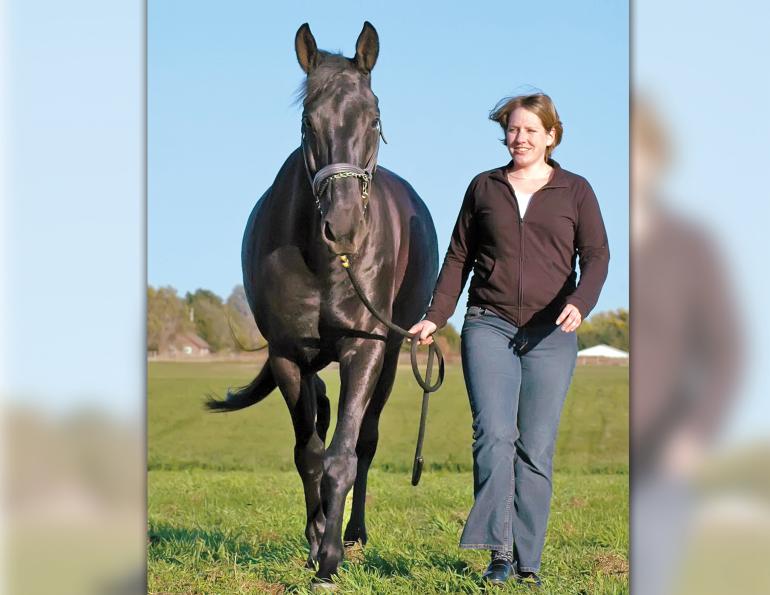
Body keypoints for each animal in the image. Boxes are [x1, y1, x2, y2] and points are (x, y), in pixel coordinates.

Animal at [206, 21, 439, 585]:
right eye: (307, 120)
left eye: (374, 117)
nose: (344, 227)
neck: (325, 261)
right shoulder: (289, 354)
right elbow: (309, 453)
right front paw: (314, 543)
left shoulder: (365, 348)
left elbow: (343, 455)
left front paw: (331, 558)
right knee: (320, 415)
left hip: (393, 356)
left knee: (366, 440)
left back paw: (353, 534)